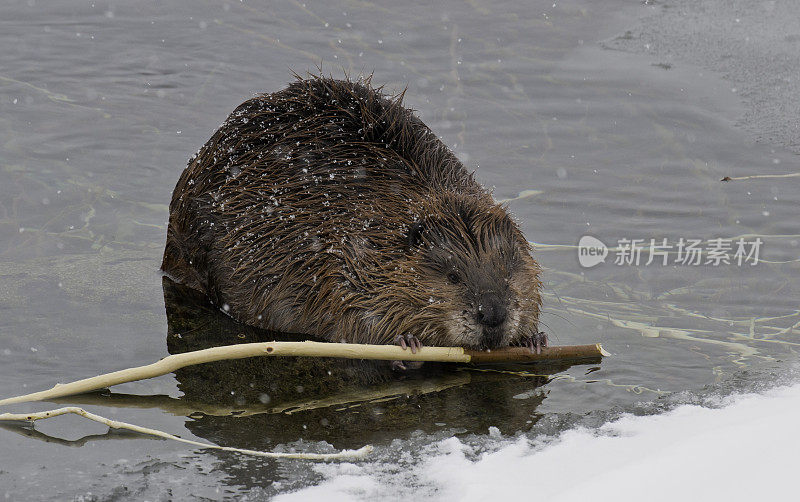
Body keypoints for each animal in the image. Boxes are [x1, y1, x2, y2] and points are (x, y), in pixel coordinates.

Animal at [164, 74, 552, 356]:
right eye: (453, 276)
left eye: (508, 270)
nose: (493, 314)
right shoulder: (332, 255)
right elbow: (351, 318)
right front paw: (405, 341)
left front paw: (534, 339)